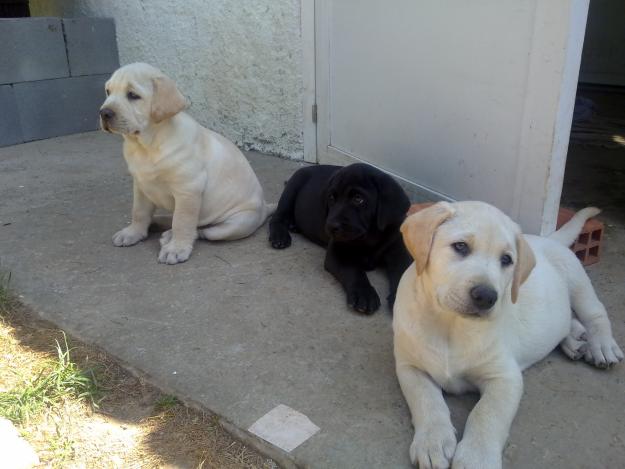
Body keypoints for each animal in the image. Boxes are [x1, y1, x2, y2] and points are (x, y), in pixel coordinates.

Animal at [99, 62, 272, 264]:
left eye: (133, 95)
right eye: (108, 91)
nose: (104, 113)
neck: (148, 145)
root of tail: (265, 208)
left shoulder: (188, 189)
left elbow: (183, 221)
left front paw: (176, 248)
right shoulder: (141, 185)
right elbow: (139, 211)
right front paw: (133, 232)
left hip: (234, 224)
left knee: (202, 229)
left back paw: (169, 235)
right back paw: (157, 223)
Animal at [266, 163, 410, 312]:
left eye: (358, 198)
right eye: (331, 198)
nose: (330, 226)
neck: (370, 237)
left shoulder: (398, 251)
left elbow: (404, 272)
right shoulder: (338, 252)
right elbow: (353, 270)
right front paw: (363, 293)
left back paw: (293, 225)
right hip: (292, 187)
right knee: (277, 217)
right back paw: (279, 236)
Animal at [392, 202, 620, 468]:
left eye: (506, 260)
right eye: (460, 246)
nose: (486, 296)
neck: (450, 326)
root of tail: (549, 240)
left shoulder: (504, 377)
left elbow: (487, 414)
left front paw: (477, 458)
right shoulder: (410, 367)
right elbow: (426, 400)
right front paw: (433, 442)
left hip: (578, 282)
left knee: (596, 314)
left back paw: (601, 346)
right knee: (565, 323)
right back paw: (574, 341)